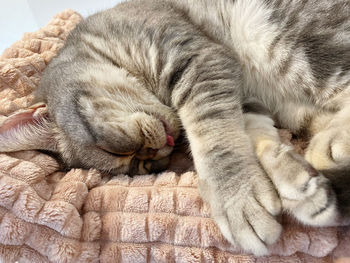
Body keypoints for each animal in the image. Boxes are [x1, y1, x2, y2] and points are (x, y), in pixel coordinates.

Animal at [0, 0, 350, 256]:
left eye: (115, 148)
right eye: (141, 167)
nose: (157, 150)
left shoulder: (196, 57)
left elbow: (214, 142)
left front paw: (236, 200)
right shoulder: (248, 103)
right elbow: (255, 139)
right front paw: (296, 185)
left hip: (278, 33)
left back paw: (332, 144)